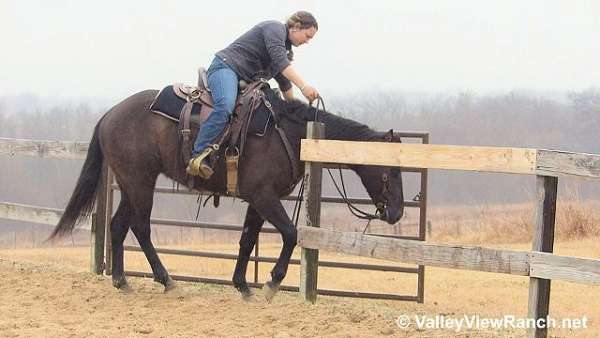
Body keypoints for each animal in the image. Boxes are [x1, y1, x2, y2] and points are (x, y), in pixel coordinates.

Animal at [48, 85, 404, 302]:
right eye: (390, 171)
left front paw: (243, 286)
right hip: (139, 184)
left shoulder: (258, 201)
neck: (290, 133)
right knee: (141, 227)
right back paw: (166, 279)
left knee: (120, 225)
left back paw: (122, 281)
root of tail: (109, 115)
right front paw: (272, 283)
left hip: (131, 185)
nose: (397, 212)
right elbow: (290, 233)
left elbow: (247, 239)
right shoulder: (264, 197)